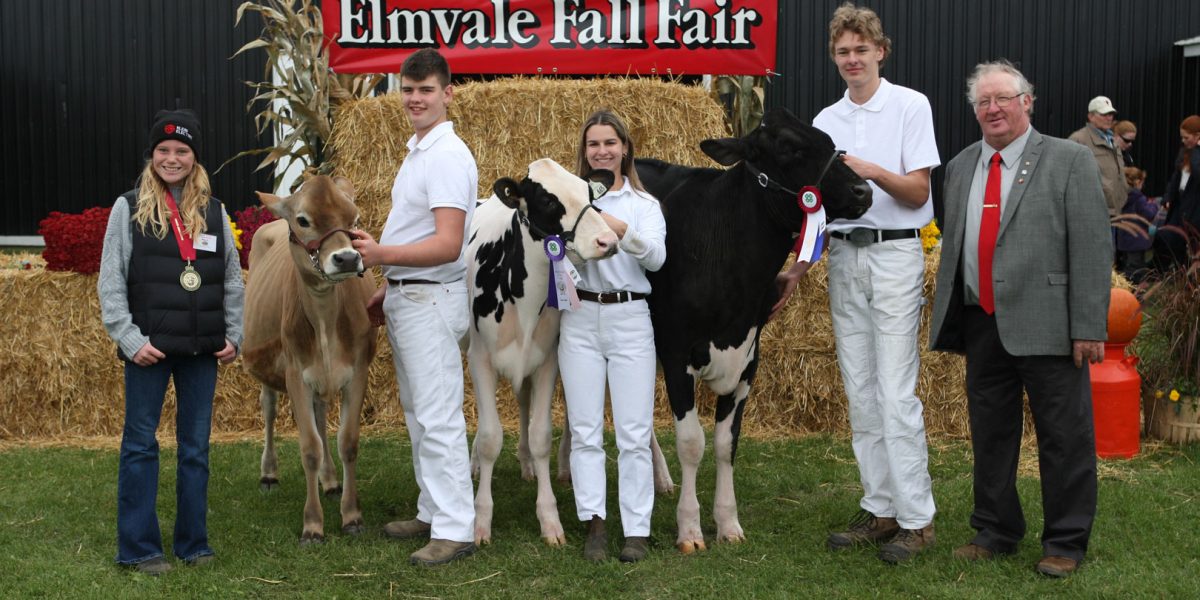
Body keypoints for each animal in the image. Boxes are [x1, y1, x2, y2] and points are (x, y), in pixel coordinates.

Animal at [638, 108, 873, 552]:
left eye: (828, 140)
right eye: (788, 147)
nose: (864, 190)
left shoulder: (749, 358)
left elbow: (726, 444)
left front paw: (728, 523)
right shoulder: (677, 353)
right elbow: (692, 443)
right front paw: (690, 529)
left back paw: (657, 477)